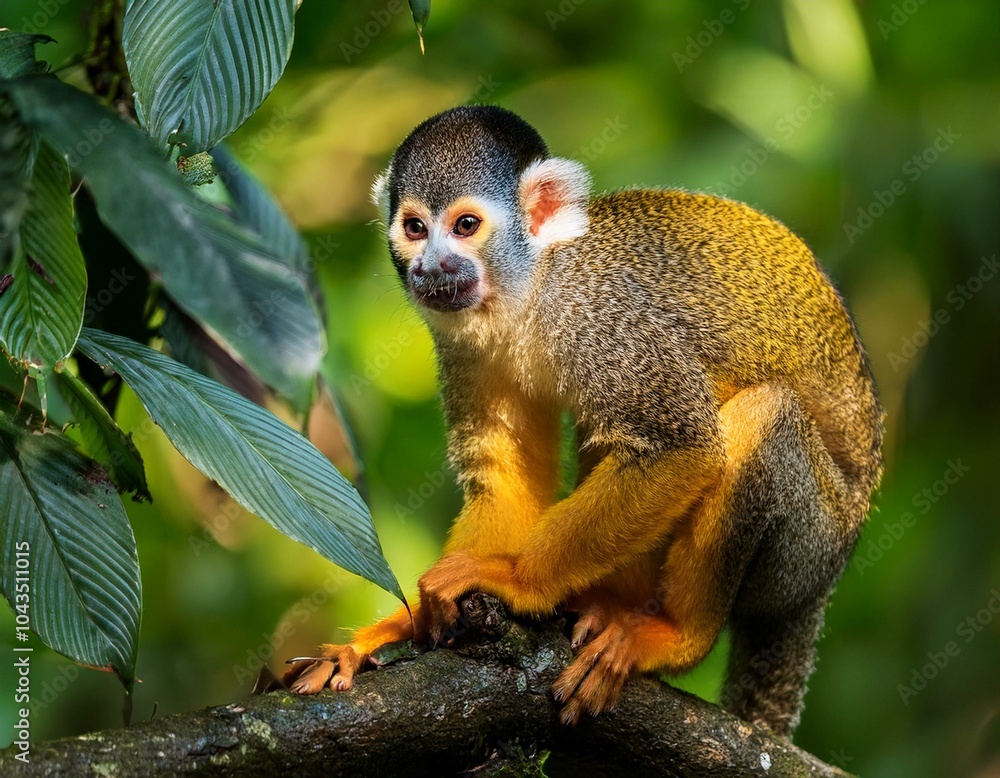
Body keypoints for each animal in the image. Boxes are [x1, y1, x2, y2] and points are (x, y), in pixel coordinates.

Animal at [285, 105, 883, 737]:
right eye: (415, 227)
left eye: (465, 225)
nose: (430, 266)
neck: (530, 288)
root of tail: (822, 589)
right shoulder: (462, 344)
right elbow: (506, 479)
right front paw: (405, 623)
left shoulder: (603, 319)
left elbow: (681, 444)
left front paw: (516, 581)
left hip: (807, 547)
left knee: (765, 413)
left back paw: (678, 635)